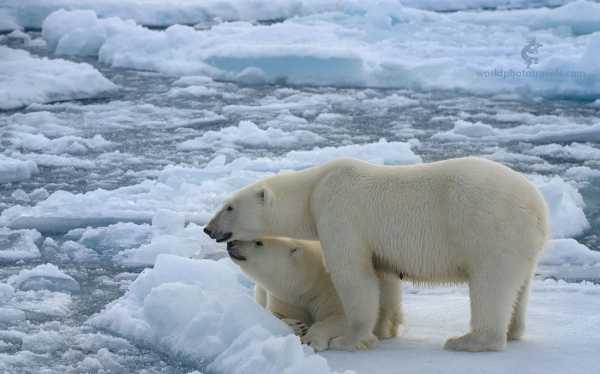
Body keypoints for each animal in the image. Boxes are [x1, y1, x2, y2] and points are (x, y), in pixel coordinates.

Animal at [225, 238, 404, 352]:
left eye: (258, 242)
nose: (230, 243)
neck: (308, 281)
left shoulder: (334, 290)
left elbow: (344, 318)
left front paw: (310, 340)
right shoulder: (285, 296)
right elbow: (275, 314)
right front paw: (298, 325)